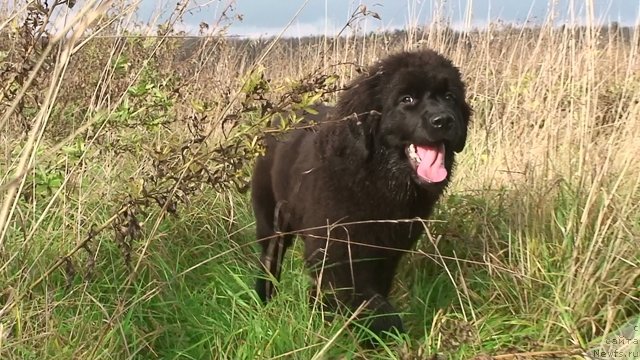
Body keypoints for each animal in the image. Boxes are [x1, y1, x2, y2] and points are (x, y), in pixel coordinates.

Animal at [250, 48, 470, 340]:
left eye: (449, 97)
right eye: (406, 99)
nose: (444, 120)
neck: (375, 177)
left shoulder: (387, 253)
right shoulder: (338, 250)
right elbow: (374, 307)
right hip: (272, 221)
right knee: (270, 259)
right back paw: (265, 298)